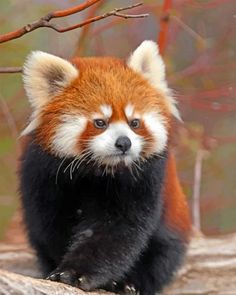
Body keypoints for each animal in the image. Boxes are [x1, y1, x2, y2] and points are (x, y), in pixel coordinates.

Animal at [19, 41, 191, 295]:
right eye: (100, 122)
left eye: (134, 122)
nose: (124, 143)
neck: (96, 171)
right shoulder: (44, 176)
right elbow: (52, 229)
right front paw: (61, 269)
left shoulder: (143, 180)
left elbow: (115, 233)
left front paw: (77, 273)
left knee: (161, 257)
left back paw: (130, 284)